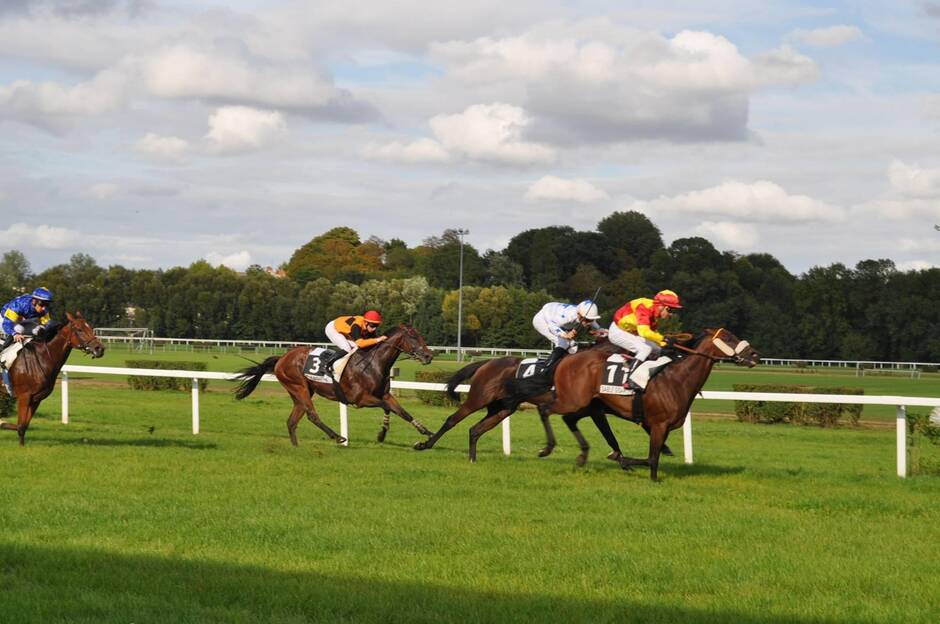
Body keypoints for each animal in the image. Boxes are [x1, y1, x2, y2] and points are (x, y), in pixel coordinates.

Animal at [0, 314, 105, 446]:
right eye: (79, 329)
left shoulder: (36, 398)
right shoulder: (24, 396)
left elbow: (23, 425)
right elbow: (20, 425)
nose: (99, 348)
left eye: (90, 328)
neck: (41, 358)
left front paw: (4, 424)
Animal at [237, 324, 438, 446]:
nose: (429, 356)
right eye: (413, 337)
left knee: (292, 421)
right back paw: (338, 437)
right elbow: (388, 408)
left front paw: (427, 432)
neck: (373, 364)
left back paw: (296, 447)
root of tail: (282, 358)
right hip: (299, 387)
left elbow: (402, 412)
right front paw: (381, 435)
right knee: (312, 415)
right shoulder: (361, 399)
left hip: (301, 391)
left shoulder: (385, 395)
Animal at [414, 342, 672, 464]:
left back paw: (472, 458)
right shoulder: (595, 408)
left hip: (502, 408)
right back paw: (425, 444)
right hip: (478, 398)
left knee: (475, 429)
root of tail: (487, 362)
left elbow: (616, 432)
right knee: (452, 420)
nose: (658, 360)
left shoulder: (596, 408)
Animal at [506, 330, 756, 480]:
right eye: (730, 338)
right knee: (545, 409)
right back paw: (547, 448)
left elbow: (654, 454)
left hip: (584, 404)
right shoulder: (658, 424)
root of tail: (565, 360)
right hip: (572, 400)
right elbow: (652, 457)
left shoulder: (662, 427)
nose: (754, 354)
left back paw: (580, 456)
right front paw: (640, 471)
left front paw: (628, 462)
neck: (677, 379)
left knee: (568, 418)